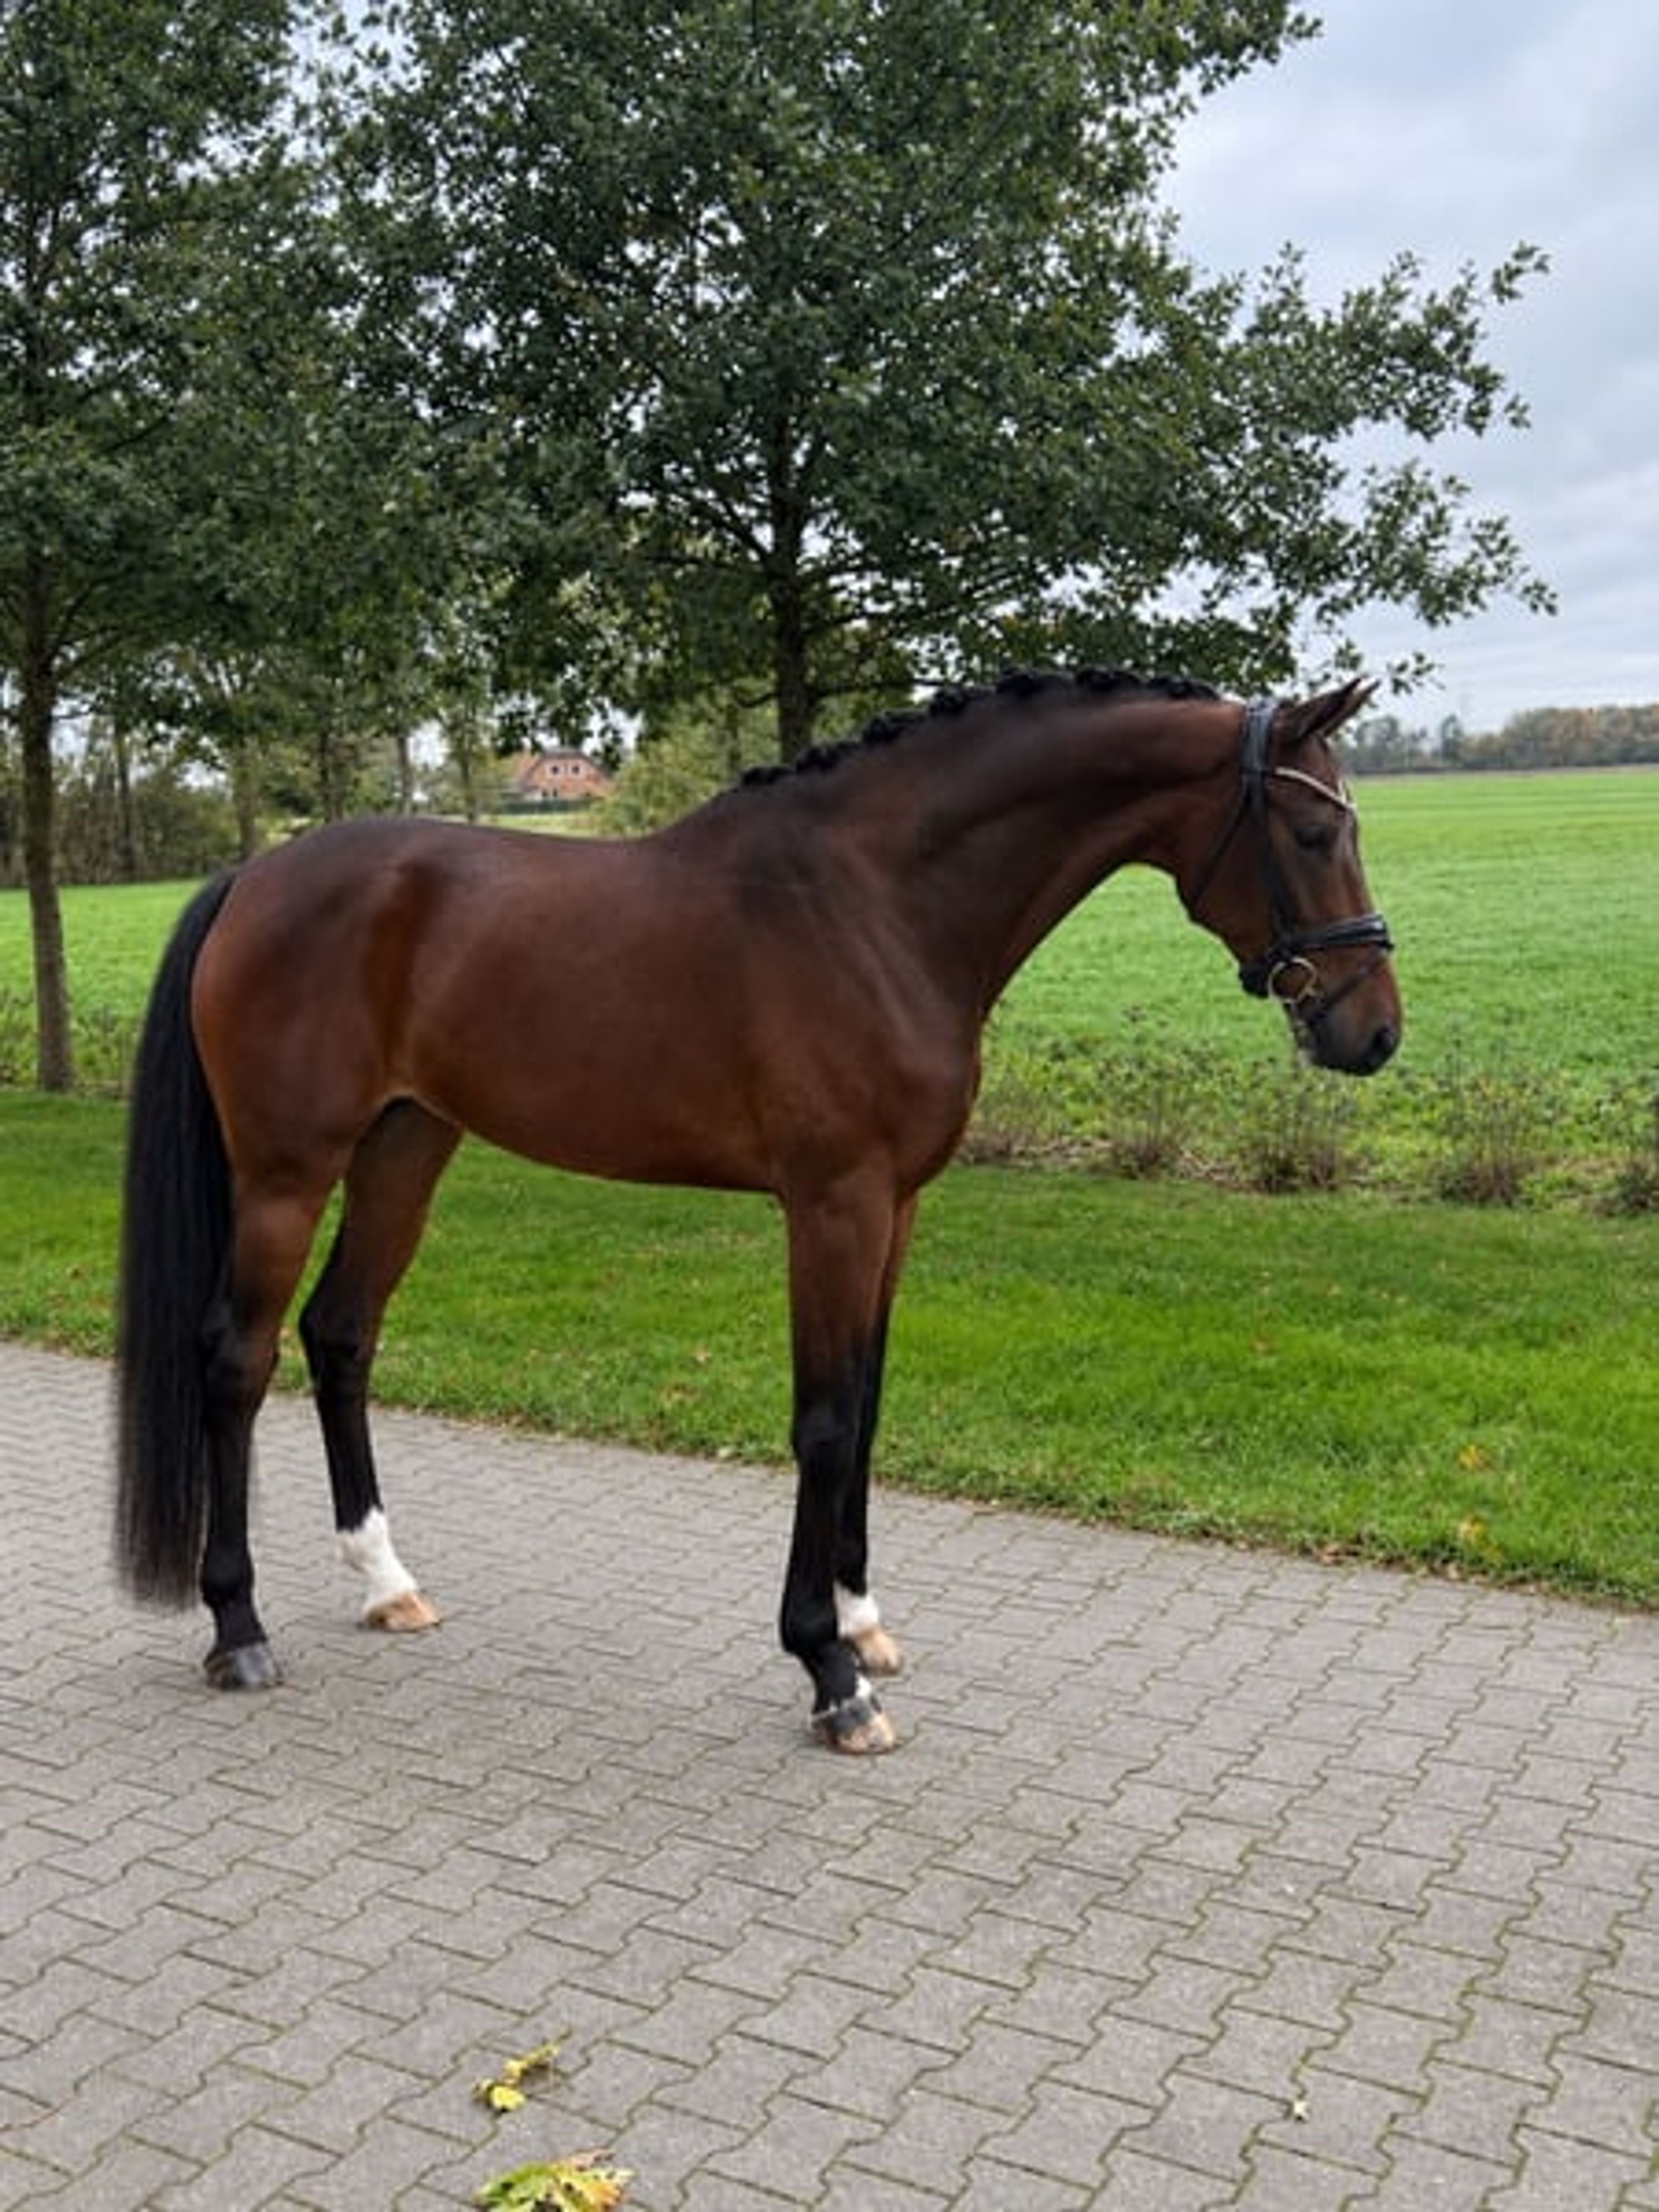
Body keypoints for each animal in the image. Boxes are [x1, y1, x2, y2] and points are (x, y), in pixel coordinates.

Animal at [116, 669, 1400, 1753]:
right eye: (1314, 833)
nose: (1373, 1031)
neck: (877, 906)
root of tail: (255, 878)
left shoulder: (896, 1209)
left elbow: (869, 1409)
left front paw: (865, 1622)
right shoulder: (831, 1205)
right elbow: (823, 1420)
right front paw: (829, 1674)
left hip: (404, 1147)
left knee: (341, 1335)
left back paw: (388, 1584)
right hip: (287, 1172)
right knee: (237, 1357)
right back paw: (239, 1630)